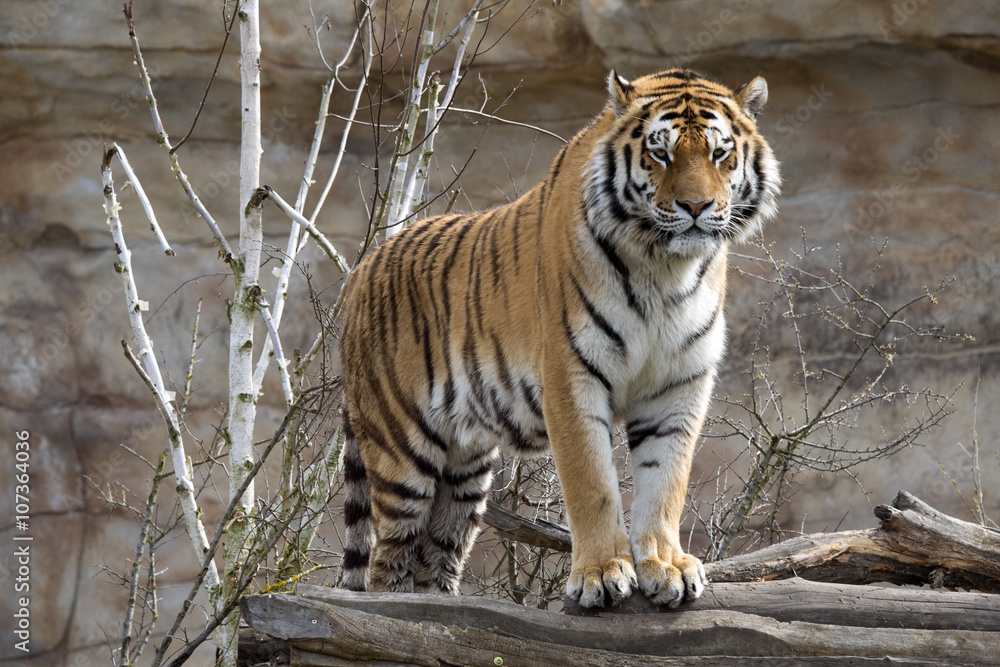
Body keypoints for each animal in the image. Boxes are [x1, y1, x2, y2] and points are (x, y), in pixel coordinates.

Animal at [338, 68, 780, 608]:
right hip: (402, 451)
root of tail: (361, 270)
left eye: (719, 154)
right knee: (387, 560)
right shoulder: (572, 375)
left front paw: (666, 566)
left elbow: (666, 482)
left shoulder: (679, 384)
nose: (696, 206)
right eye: (660, 153)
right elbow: (592, 483)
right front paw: (602, 575)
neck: (665, 268)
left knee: (437, 553)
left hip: (464, 468)